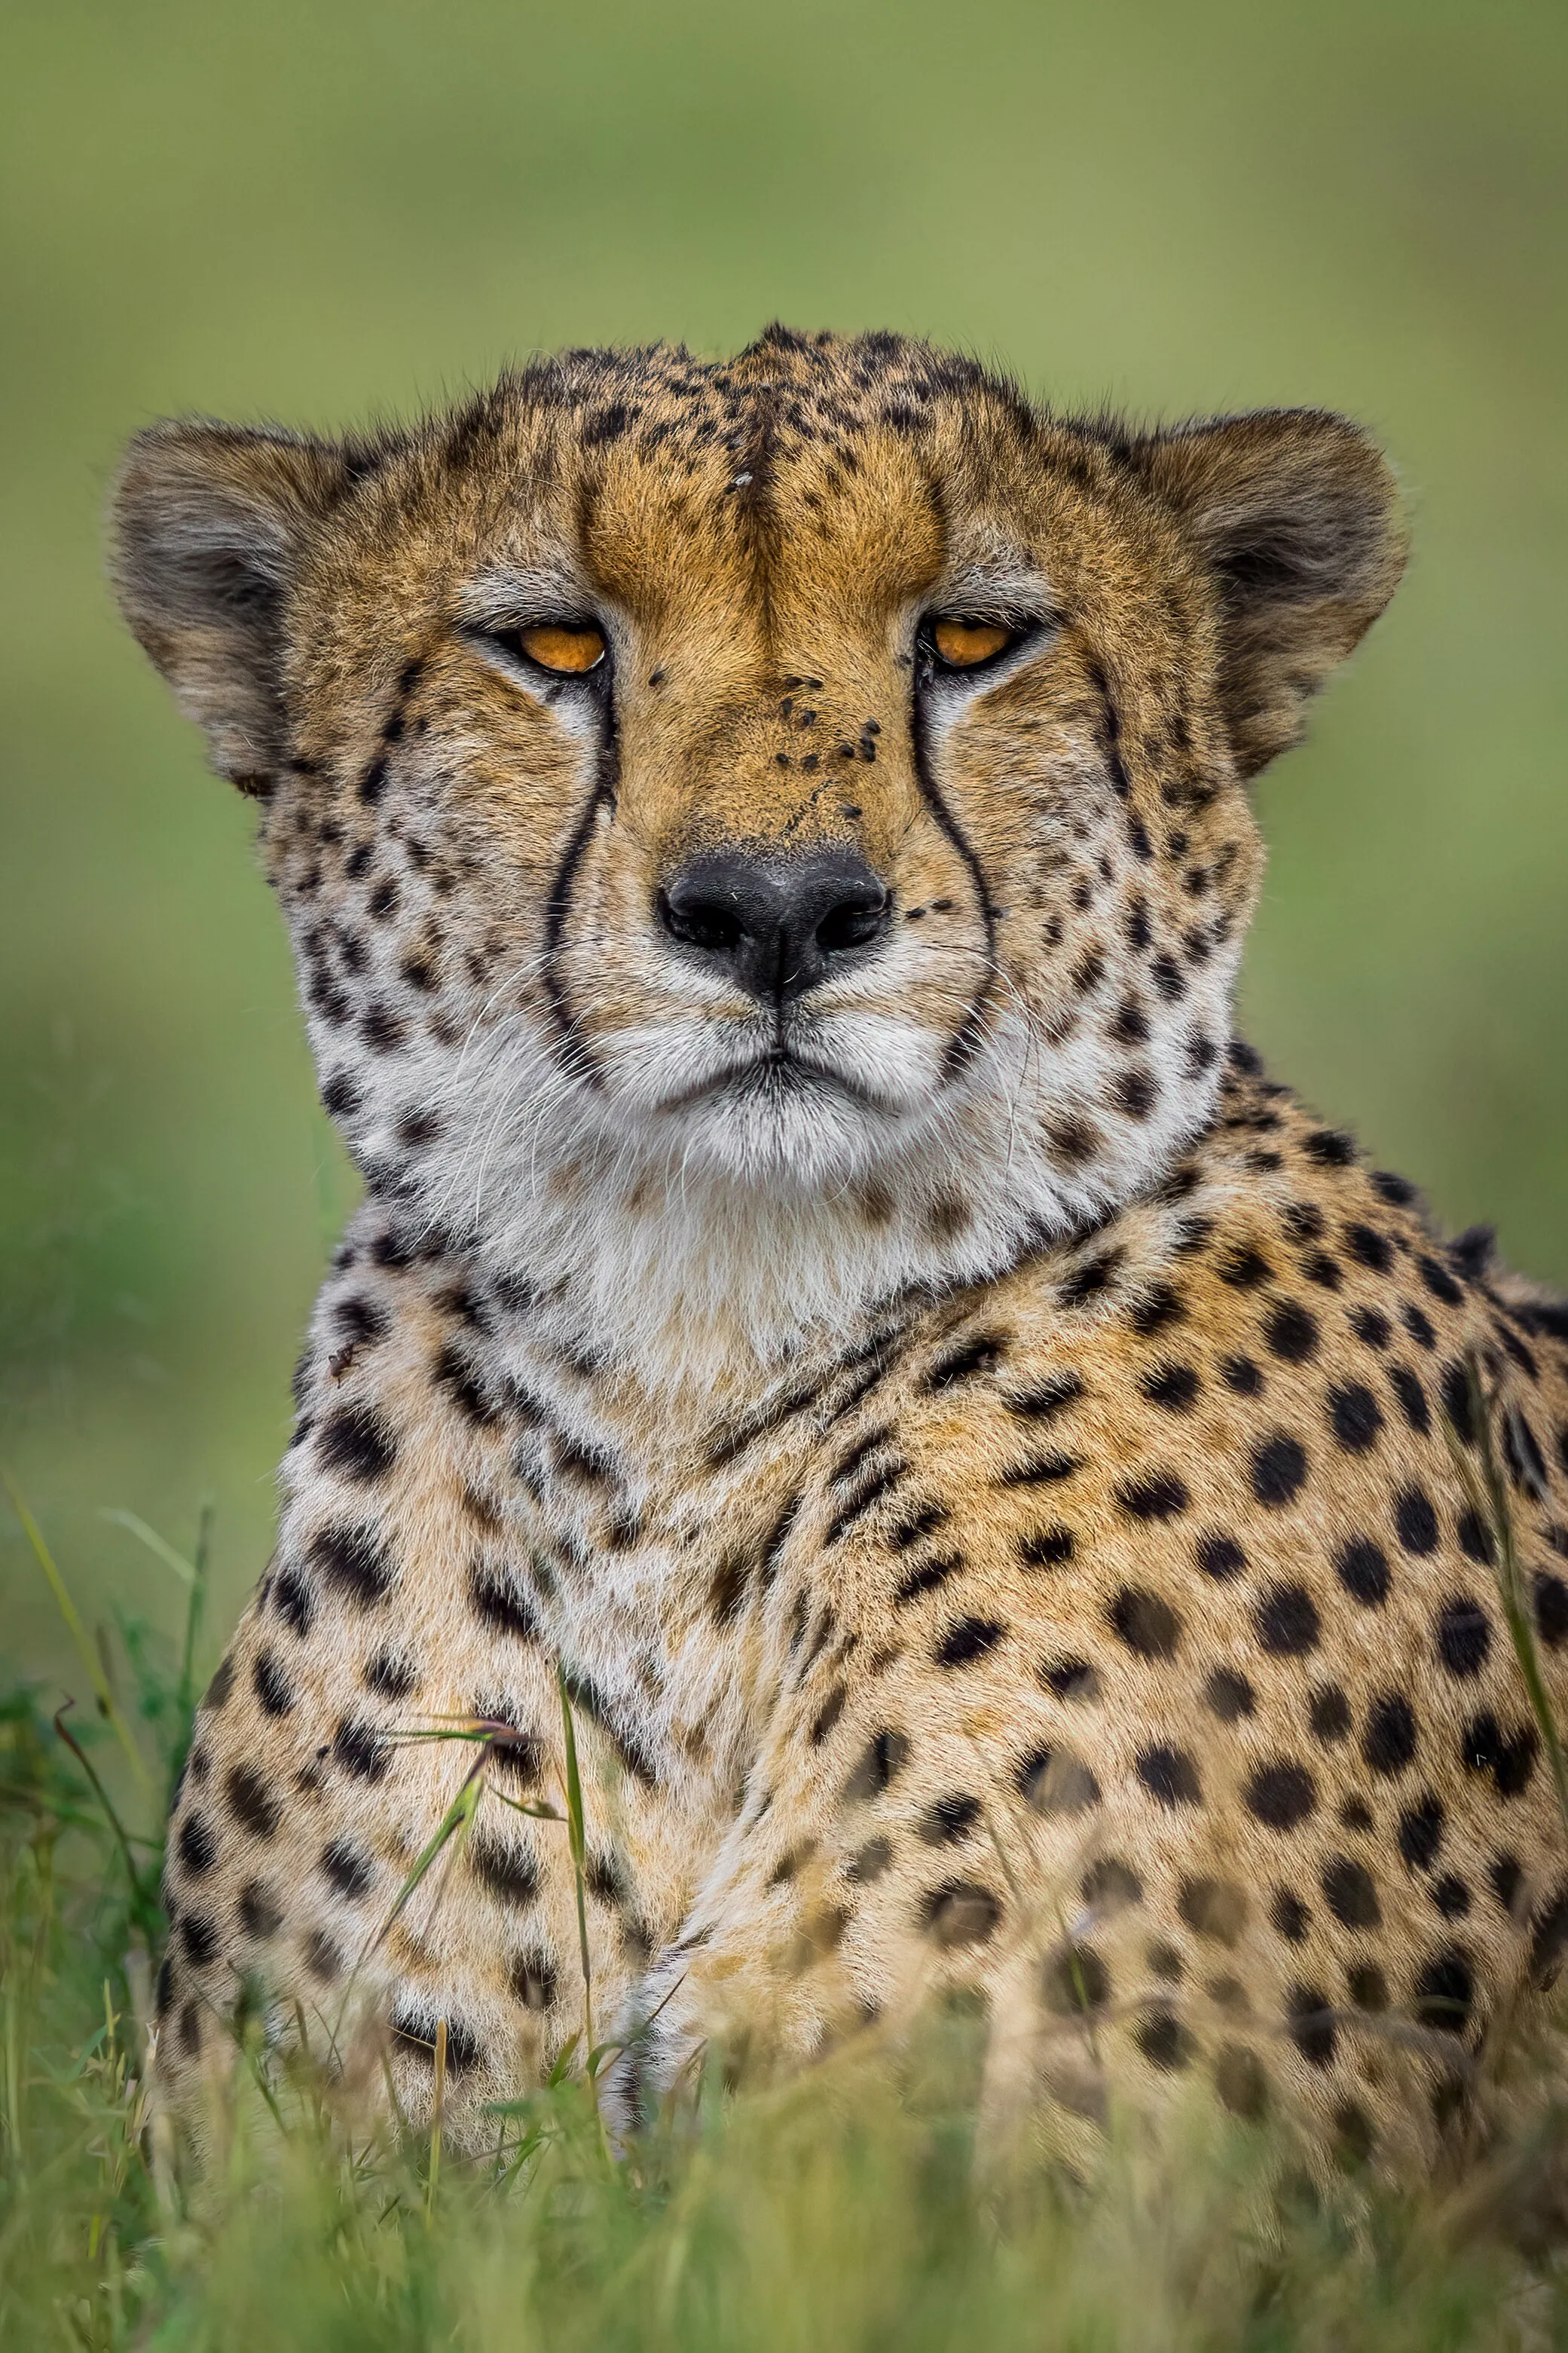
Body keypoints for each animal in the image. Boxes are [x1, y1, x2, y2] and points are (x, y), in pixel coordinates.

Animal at [110, 324, 1568, 2180]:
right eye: (554, 643)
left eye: (974, 638)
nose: (779, 908)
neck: (687, 1371)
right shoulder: (298, 2159)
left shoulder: (1011, 2142)